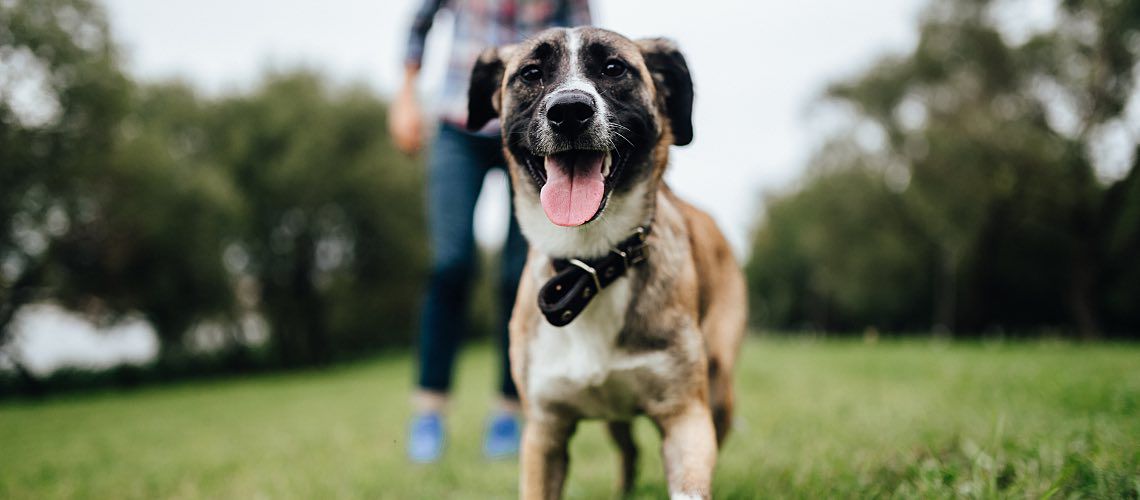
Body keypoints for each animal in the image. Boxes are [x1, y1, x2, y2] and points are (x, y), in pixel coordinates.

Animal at [465, 28, 743, 500]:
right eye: (531, 74)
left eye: (614, 68)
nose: (569, 111)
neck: (591, 263)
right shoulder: (544, 433)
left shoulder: (685, 417)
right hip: (616, 418)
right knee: (628, 451)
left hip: (718, 386)